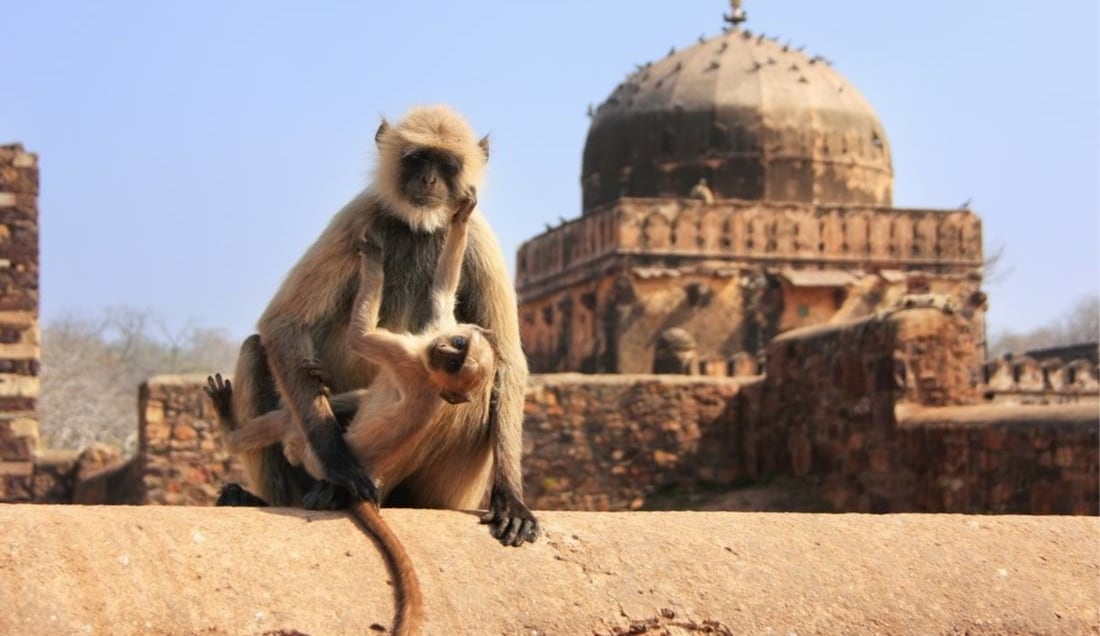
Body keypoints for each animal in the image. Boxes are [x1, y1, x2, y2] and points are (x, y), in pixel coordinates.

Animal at [217, 104, 538, 547]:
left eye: (446, 164)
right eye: (417, 159)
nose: (428, 180)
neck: (418, 225)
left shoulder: (480, 237)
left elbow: (505, 358)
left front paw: (512, 499)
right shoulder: (358, 216)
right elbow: (283, 323)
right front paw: (340, 465)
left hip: (451, 490)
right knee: (254, 348)